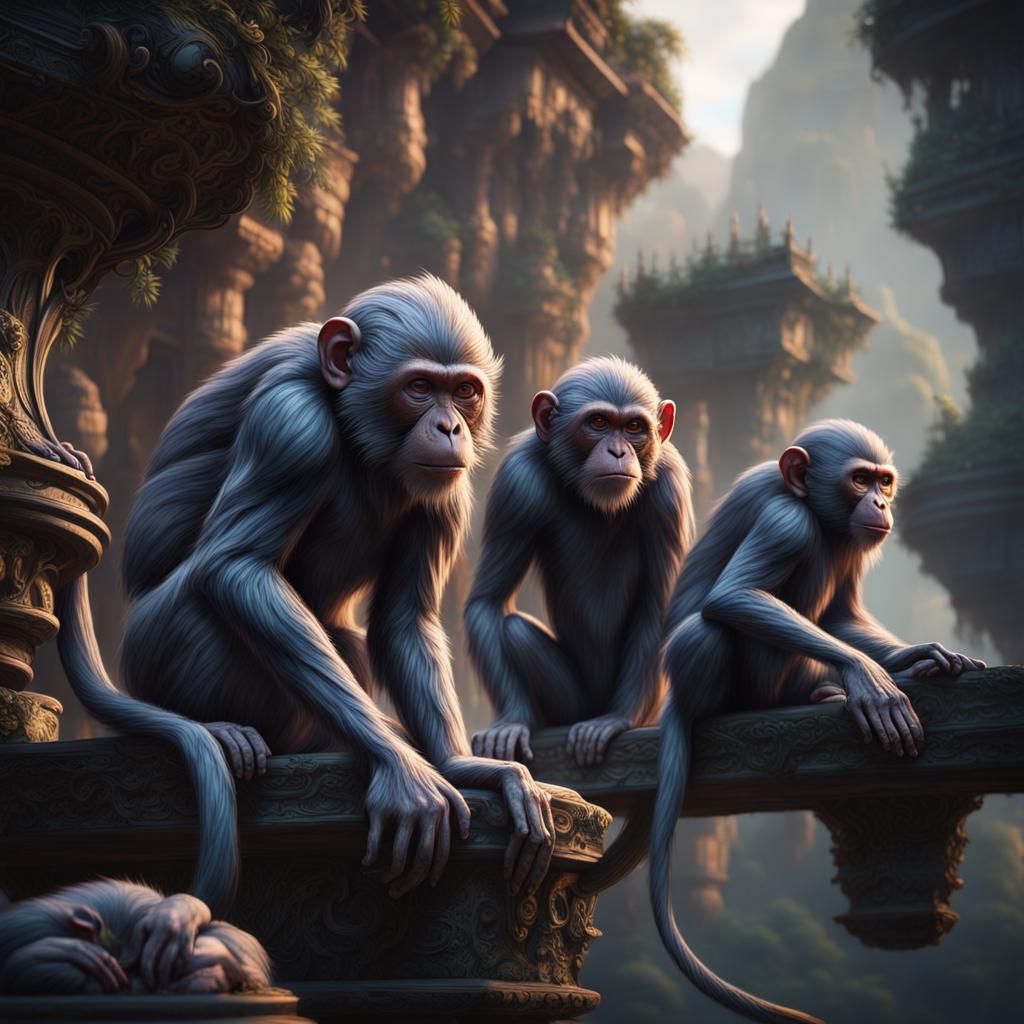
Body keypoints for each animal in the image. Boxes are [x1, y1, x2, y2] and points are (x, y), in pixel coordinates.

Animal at [102, 274, 553, 908]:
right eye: (419, 388)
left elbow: (405, 617)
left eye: (464, 391)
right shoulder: (290, 426)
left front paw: (461, 765)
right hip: (153, 647)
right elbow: (241, 568)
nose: (450, 427)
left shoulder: (449, 495)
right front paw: (405, 770)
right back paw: (217, 726)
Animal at [465, 356, 694, 768]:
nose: (618, 451)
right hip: (571, 704)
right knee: (514, 630)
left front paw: (615, 719)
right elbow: (488, 602)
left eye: (634, 427)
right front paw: (511, 721)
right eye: (598, 423)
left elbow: (657, 607)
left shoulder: (671, 493)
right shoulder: (516, 482)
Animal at [649, 419, 986, 1024]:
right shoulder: (786, 522)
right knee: (719, 625)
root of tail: (675, 699)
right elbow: (738, 596)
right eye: (859, 480)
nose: (880, 502)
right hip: (710, 675)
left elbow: (843, 615)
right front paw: (866, 677)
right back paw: (816, 694)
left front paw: (923, 654)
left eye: (883, 481)